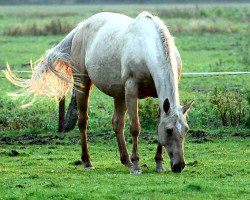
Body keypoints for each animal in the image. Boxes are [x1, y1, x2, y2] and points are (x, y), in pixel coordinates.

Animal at [5, 11, 193, 173]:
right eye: (169, 130)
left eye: (186, 130)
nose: (179, 166)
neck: (146, 47)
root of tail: (81, 27)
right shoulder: (131, 91)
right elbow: (135, 128)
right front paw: (136, 166)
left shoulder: (159, 96)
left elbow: (154, 125)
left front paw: (159, 164)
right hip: (83, 84)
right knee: (83, 121)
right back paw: (88, 161)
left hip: (119, 94)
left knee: (117, 123)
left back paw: (125, 160)